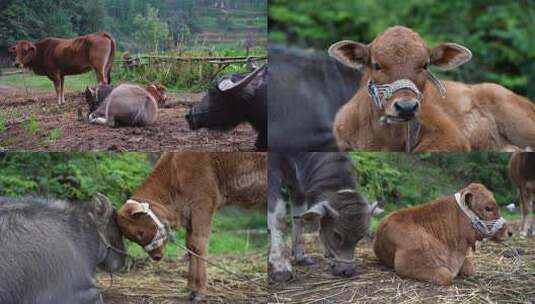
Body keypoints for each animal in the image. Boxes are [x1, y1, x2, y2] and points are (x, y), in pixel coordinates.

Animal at [115, 153, 266, 300]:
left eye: (140, 232)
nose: (156, 256)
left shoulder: (203, 206)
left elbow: (198, 245)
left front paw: (200, 292)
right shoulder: (190, 216)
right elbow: (190, 246)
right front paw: (190, 287)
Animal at [268, 152, 376, 282]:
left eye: (360, 237)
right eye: (337, 235)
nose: (346, 271)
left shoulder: (297, 181)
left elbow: (299, 217)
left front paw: (300, 257)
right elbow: (278, 216)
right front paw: (280, 267)